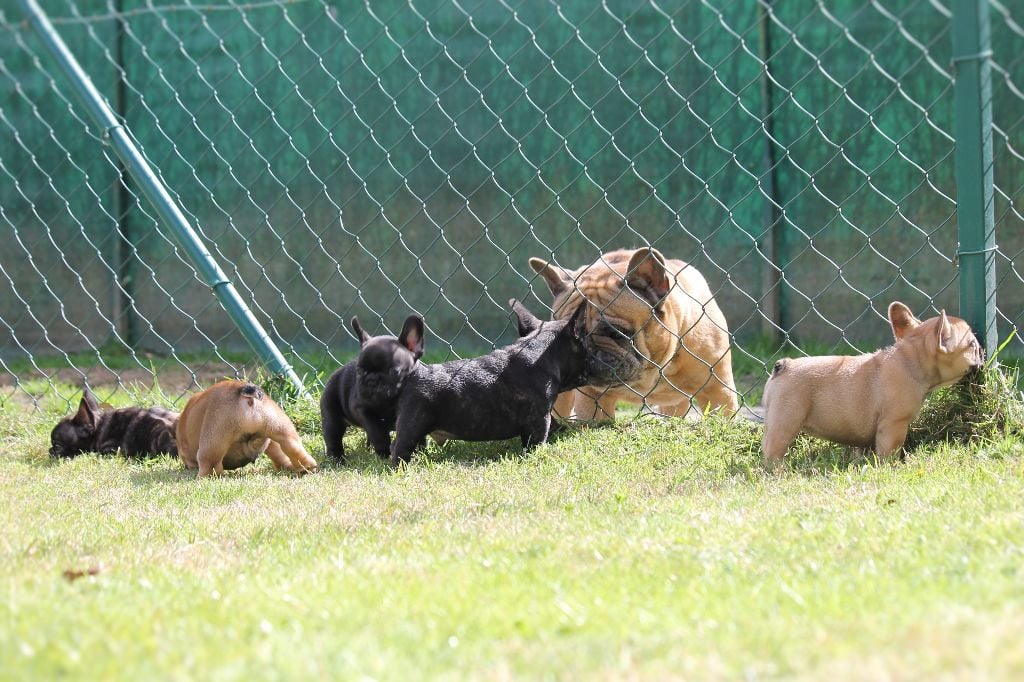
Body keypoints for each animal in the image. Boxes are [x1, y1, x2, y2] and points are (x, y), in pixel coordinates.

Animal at [319, 313, 423, 462]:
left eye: (394, 372)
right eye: (359, 371)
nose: (371, 380)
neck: (389, 402)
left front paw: (419, 451)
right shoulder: (363, 410)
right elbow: (376, 431)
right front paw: (383, 451)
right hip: (331, 415)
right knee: (333, 436)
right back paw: (337, 459)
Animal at [387, 299, 589, 464]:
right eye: (588, 349)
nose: (595, 359)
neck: (541, 350)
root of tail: (414, 373)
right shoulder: (539, 419)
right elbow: (537, 441)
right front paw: (537, 456)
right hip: (413, 424)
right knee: (400, 448)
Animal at [761, 301, 983, 464]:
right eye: (972, 345)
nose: (982, 351)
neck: (911, 360)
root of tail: (783, 365)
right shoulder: (894, 424)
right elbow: (890, 450)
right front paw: (891, 467)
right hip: (786, 421)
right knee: (774, 451)